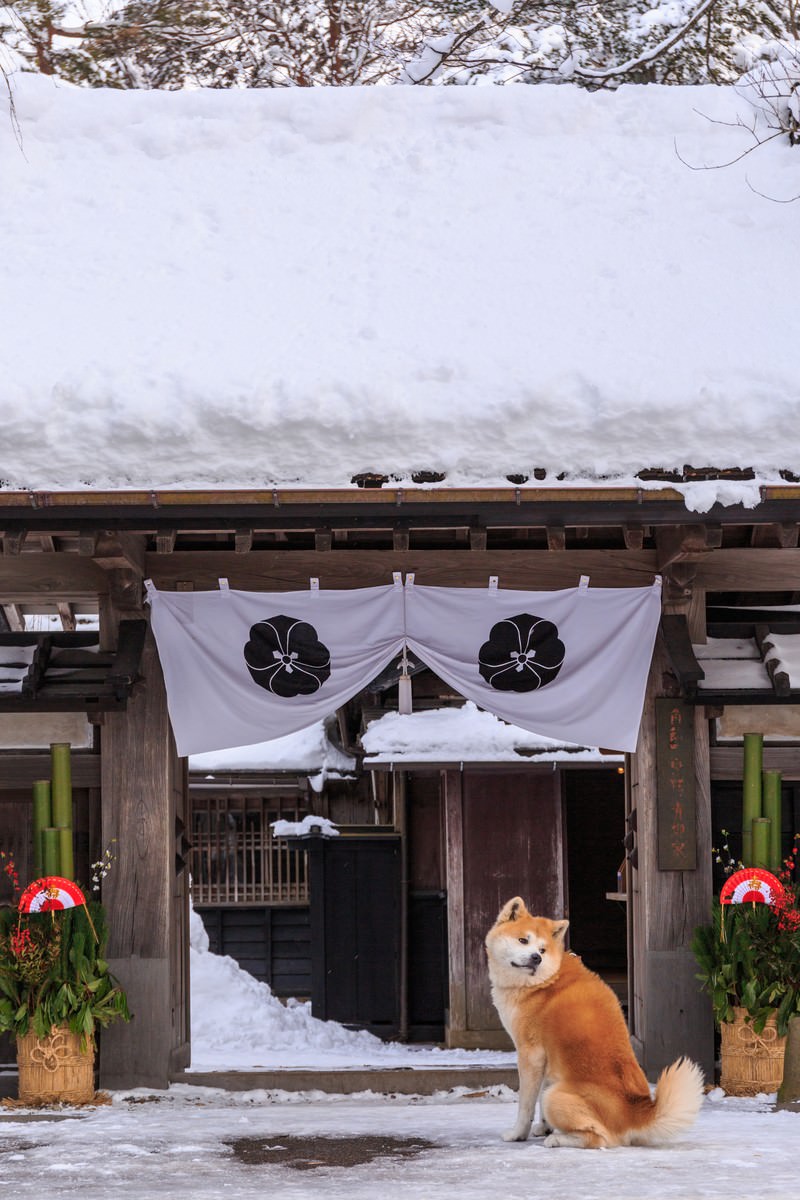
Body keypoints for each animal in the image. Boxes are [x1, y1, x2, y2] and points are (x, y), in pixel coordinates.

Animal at [484, 897, 705, 1147]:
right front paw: (544, 1127)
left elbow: (526, 1105)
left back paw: (558, 1139)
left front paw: (518, 1134)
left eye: (542, 949)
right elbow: (538, 1095)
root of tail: (636, 1113)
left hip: (557, 1096)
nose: (536, 958)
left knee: (599, 1139)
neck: (545, 981)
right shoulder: (548, 1059)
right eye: (523, 940)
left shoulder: (530, 1054)